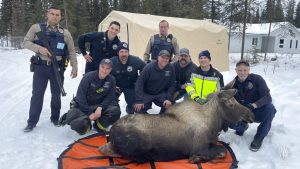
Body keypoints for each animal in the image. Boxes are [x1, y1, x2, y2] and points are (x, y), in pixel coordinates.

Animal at [99, 89, 254, 163]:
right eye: (231, 104)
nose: (251, 115)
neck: (215, 123)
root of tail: (112, 133)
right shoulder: (199, 148)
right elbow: (223, 151)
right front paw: (196, 159)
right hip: (139, 144)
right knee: (106, 150)